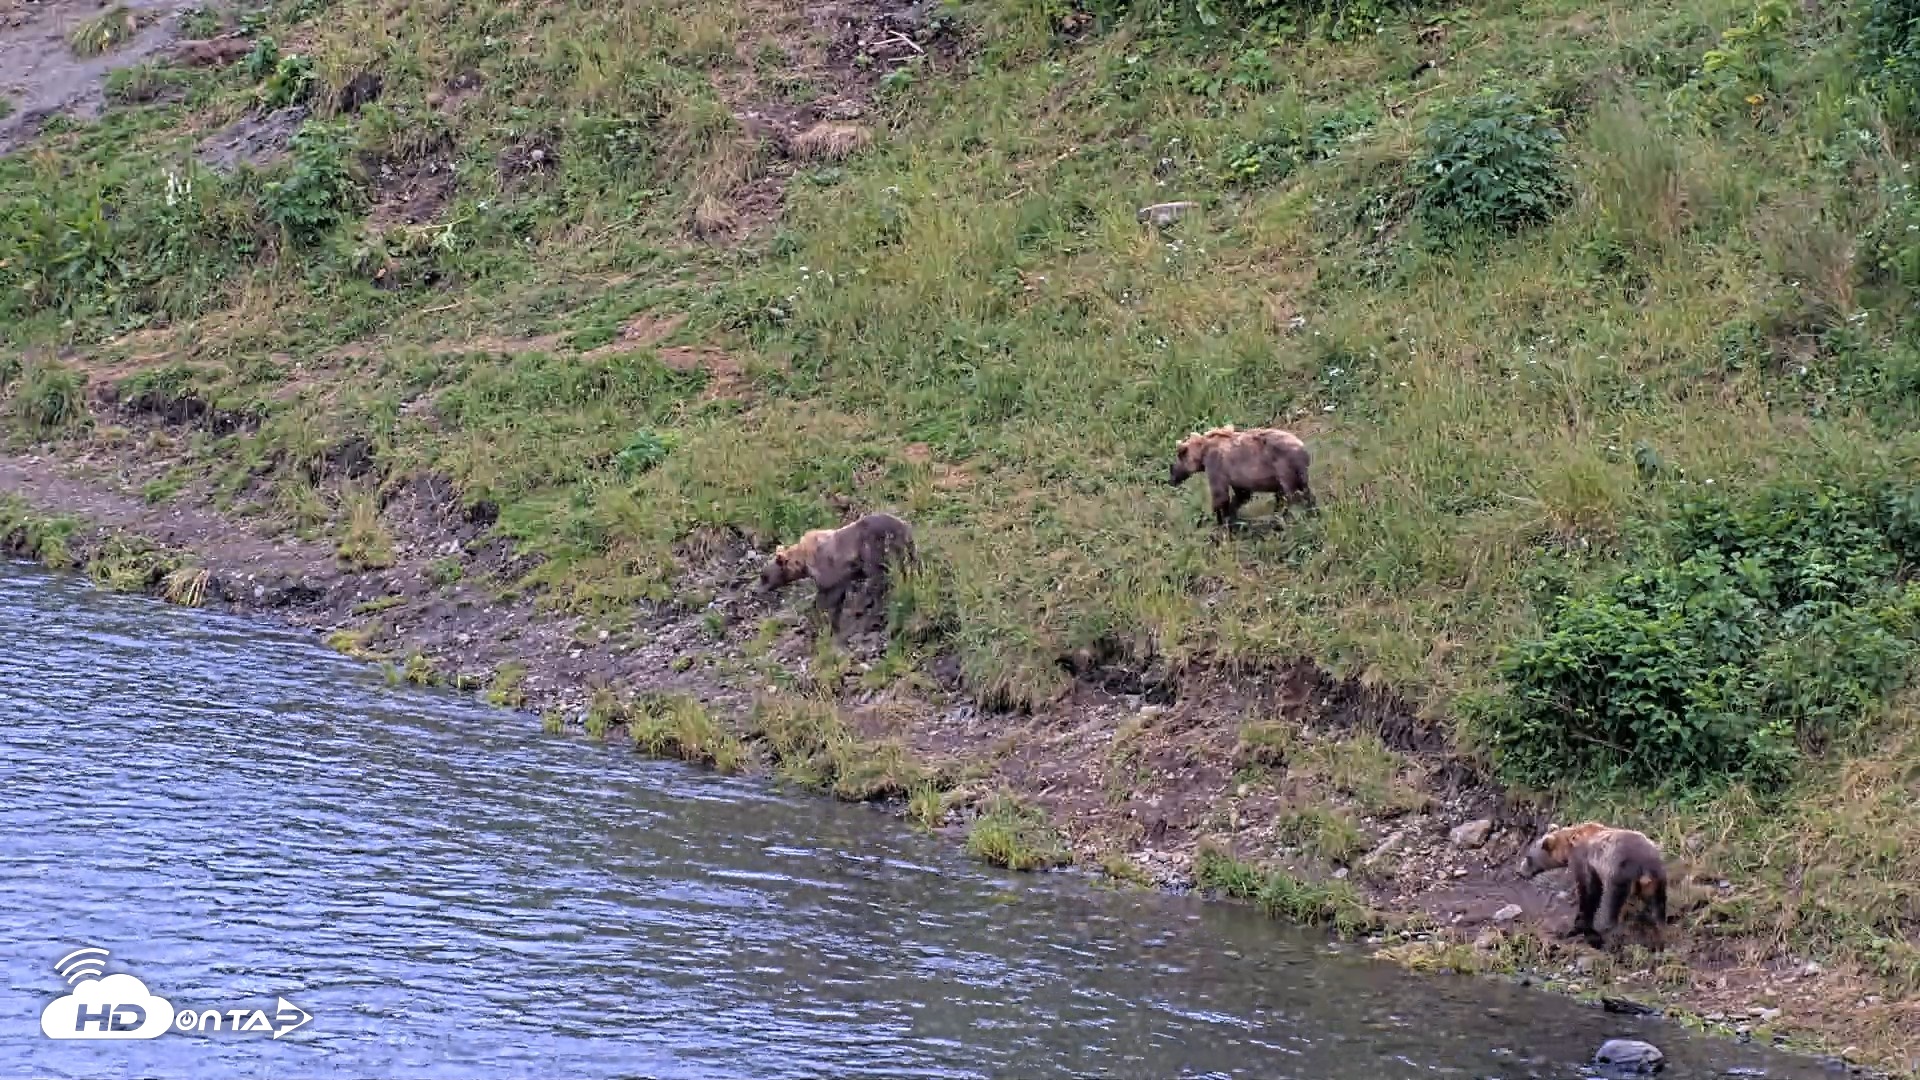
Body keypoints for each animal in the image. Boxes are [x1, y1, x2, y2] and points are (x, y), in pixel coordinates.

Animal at [758, 512, 916, 636]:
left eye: (763, 576)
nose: (756, 590)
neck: (804, 563)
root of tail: (904, 525)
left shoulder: (830, 570)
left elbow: (830, 597)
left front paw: (825, 623)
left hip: (877, 547)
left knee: (878, 578)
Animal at [1168, 425, 1316, 527]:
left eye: (1176, 462)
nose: (1171, 479)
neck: (1203, 452)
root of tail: (1300, 447)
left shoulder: (1216, 466)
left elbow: (1220, 496)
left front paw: (1220, 521)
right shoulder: (1235, 476)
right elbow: (1242, 494)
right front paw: (1232, 516)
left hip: (1283, 467)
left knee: (1292, 494)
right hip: (1298, 471)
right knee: (1304, 491)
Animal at [1519, 821, 1669, 949]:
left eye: (1528, 857)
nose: (1520, 872)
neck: (1568, 846)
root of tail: (1646, 867)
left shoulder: (1584, 860)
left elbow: (1588, 890)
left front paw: (1579, 924)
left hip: (1619, 872)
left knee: (1612, 902)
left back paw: (1604, 934)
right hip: (1658, 879)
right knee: (1658, 906)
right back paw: (1659, 934)